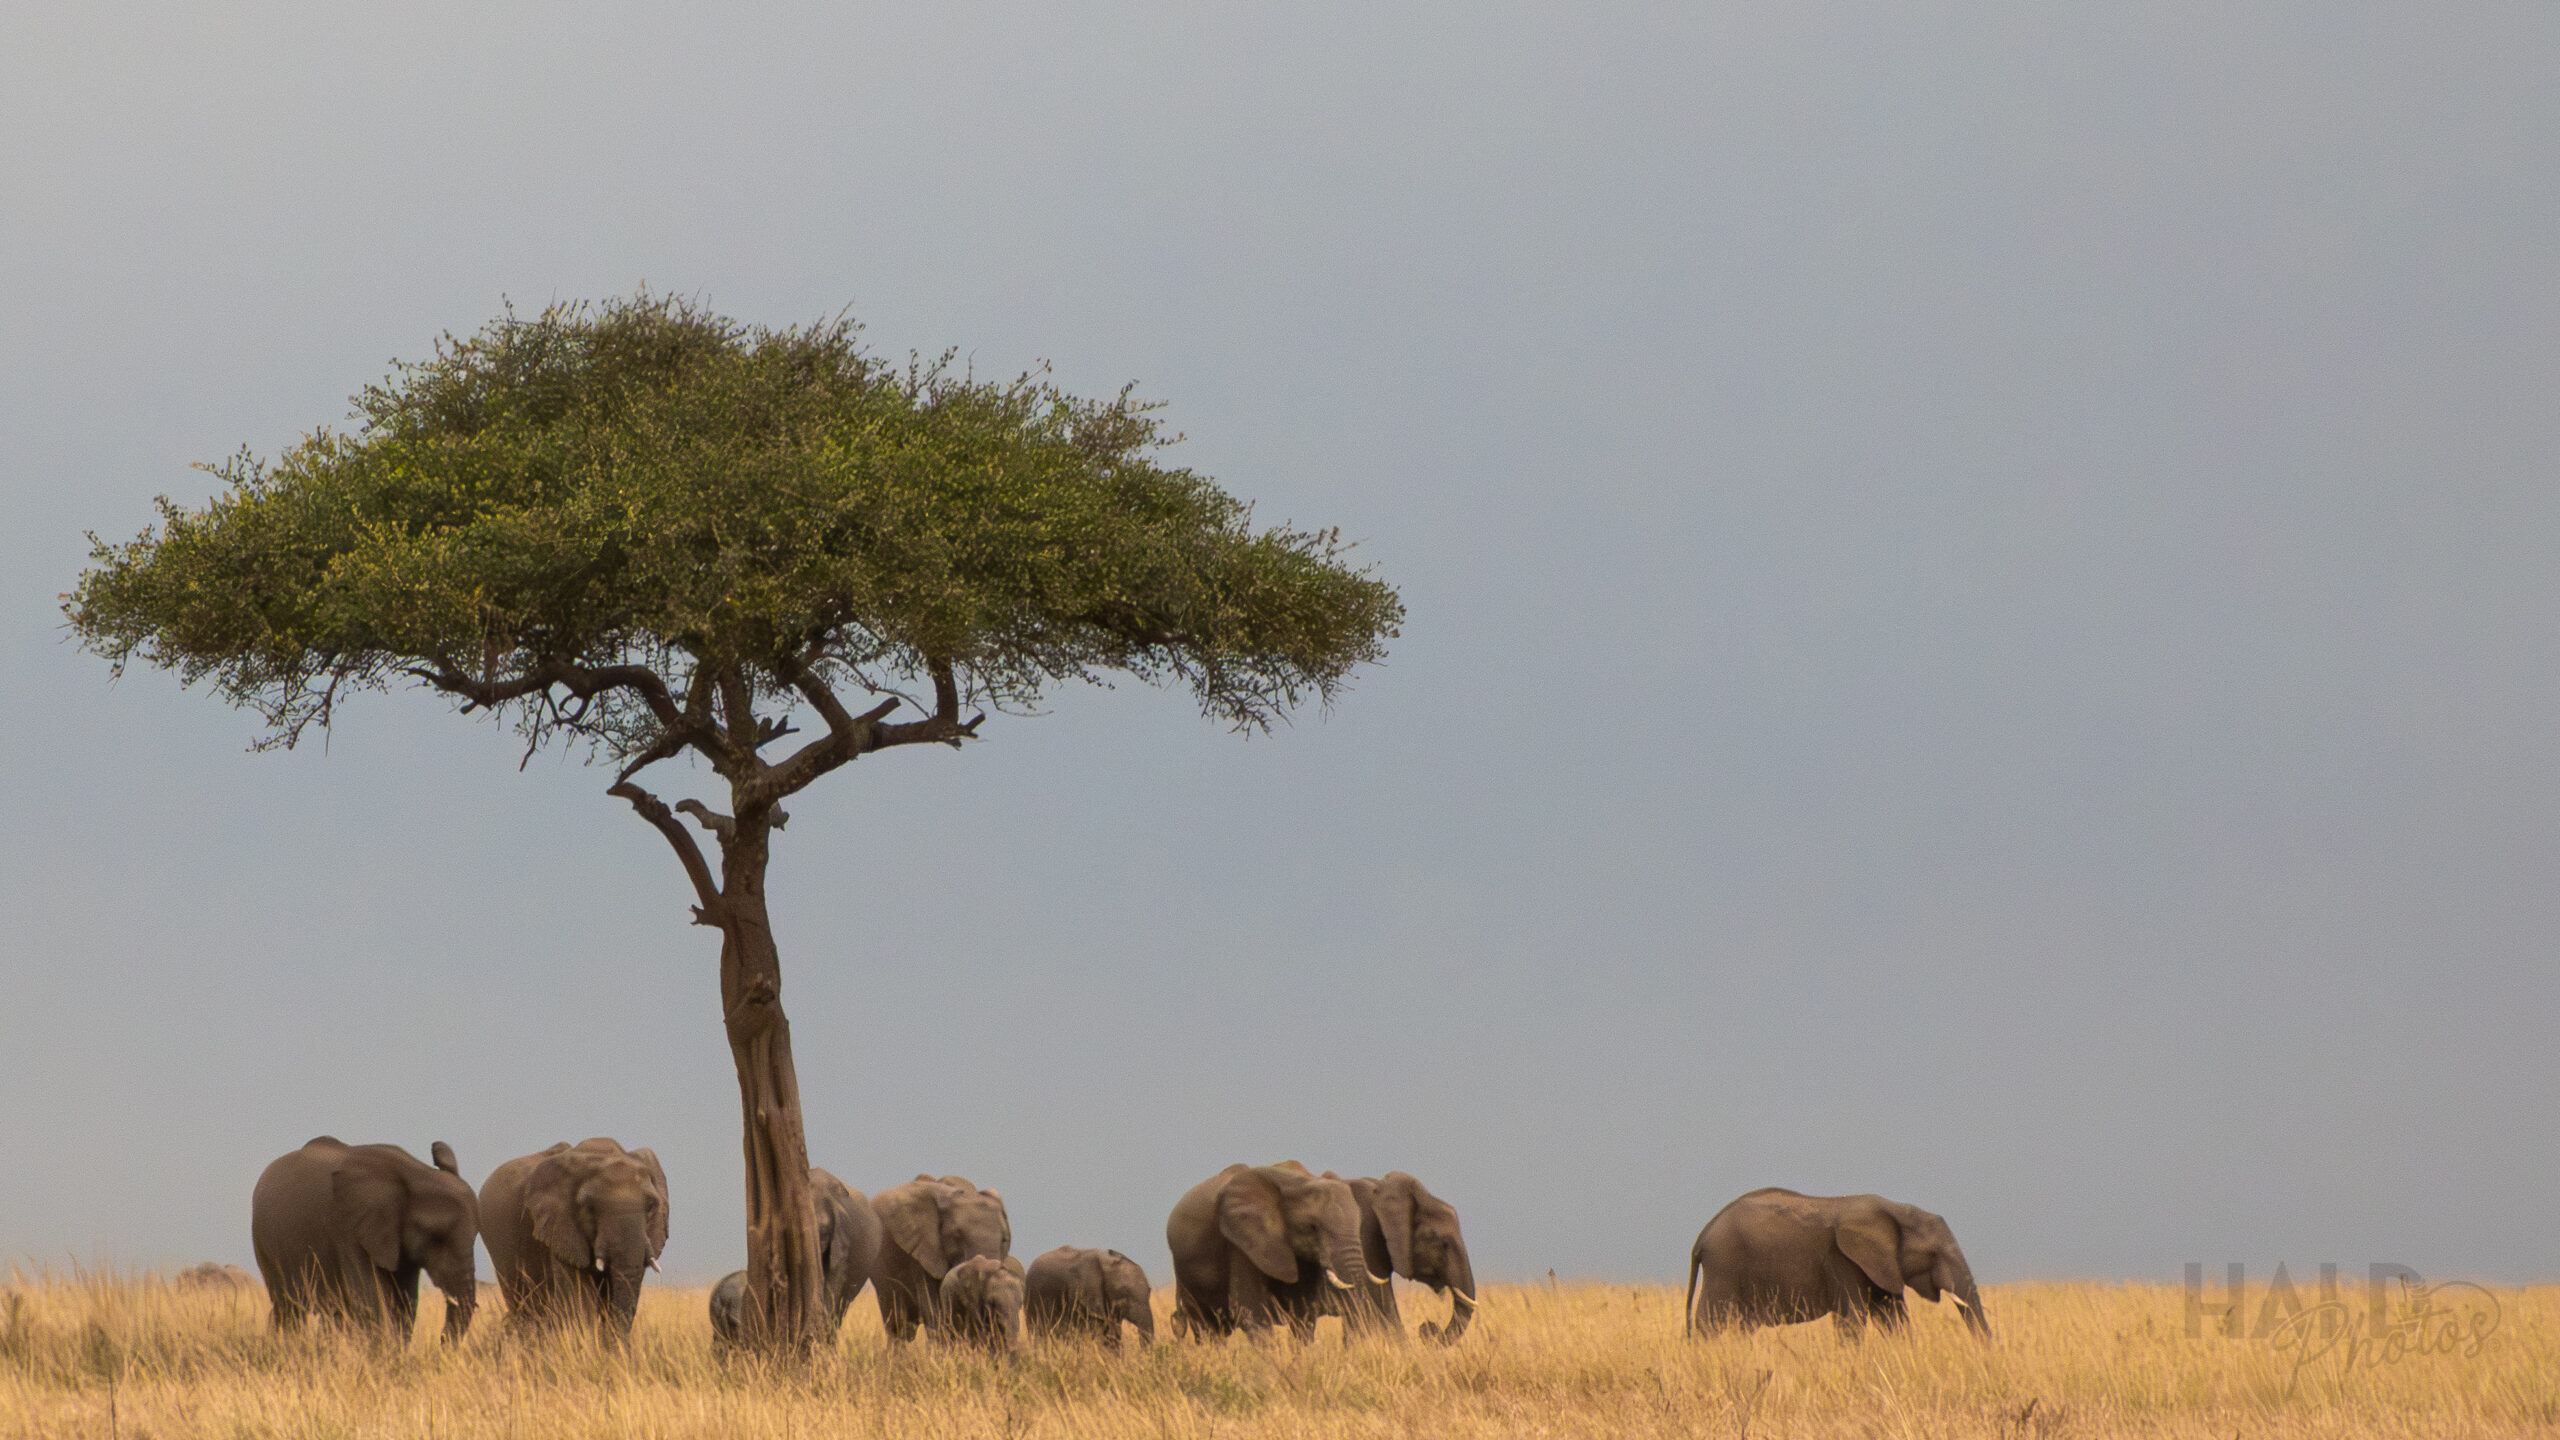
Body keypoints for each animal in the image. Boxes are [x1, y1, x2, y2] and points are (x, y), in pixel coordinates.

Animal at [249, 1136, 479, 1342]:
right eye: (436, 1238)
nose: (440, 1343)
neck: (415, 1174)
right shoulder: (349, 1231)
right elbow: (370, 1299)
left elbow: (405, 1303)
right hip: (264, 1243)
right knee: (289, 1308)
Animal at [1165, 1162, 1378, 1338]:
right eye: (1312, 1227)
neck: (1295, 1181)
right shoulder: (1240, 1244)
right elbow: (1251, 1313)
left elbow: (1302, 1314)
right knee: (1207, 1331)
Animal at [1686, 1188, 1989, 1340]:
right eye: (1935, 1254)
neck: (1895, 1210)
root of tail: (1702, 1234)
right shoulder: (1843, 1260)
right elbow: (1851, 1320)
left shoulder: (1880, 1265)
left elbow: (1894, 1317)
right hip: (1724, 1267)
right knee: (1709, 1323)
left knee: (1741, 1328)